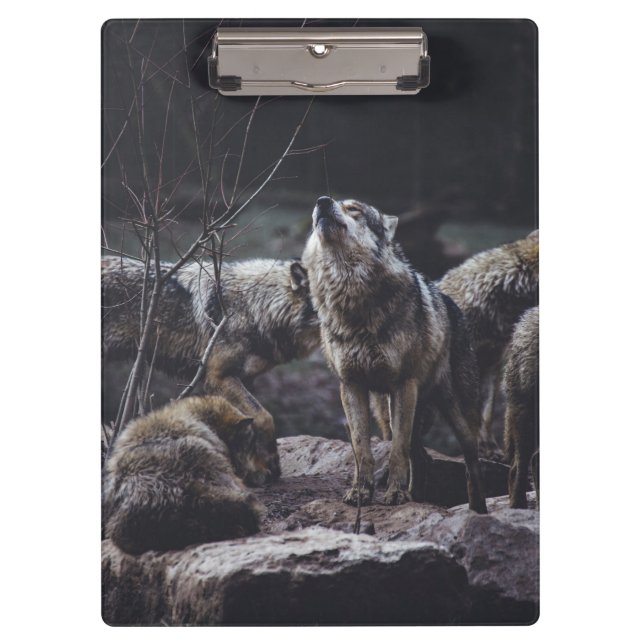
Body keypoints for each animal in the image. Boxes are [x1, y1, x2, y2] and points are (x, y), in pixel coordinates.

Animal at [102, 256, 320, 483]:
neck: (255, 306)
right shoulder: (218, 377)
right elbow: (264, 417)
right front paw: (271, 464)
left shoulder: (244, 379)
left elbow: (247, 424)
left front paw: (256, 470)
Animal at [302, 196, 487, 512]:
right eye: (328, 202)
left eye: (354, 209)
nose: (322, 202)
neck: (351, 300)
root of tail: (451, 304)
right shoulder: (350, 385)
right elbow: (361, 449)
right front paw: (361, 492)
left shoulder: (403, 384)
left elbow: (397, 452)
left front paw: (396, 495)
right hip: (388, 413)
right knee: (422, 458)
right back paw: (418, 496)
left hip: (456, 415)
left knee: (470, 462)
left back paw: (478, 510)